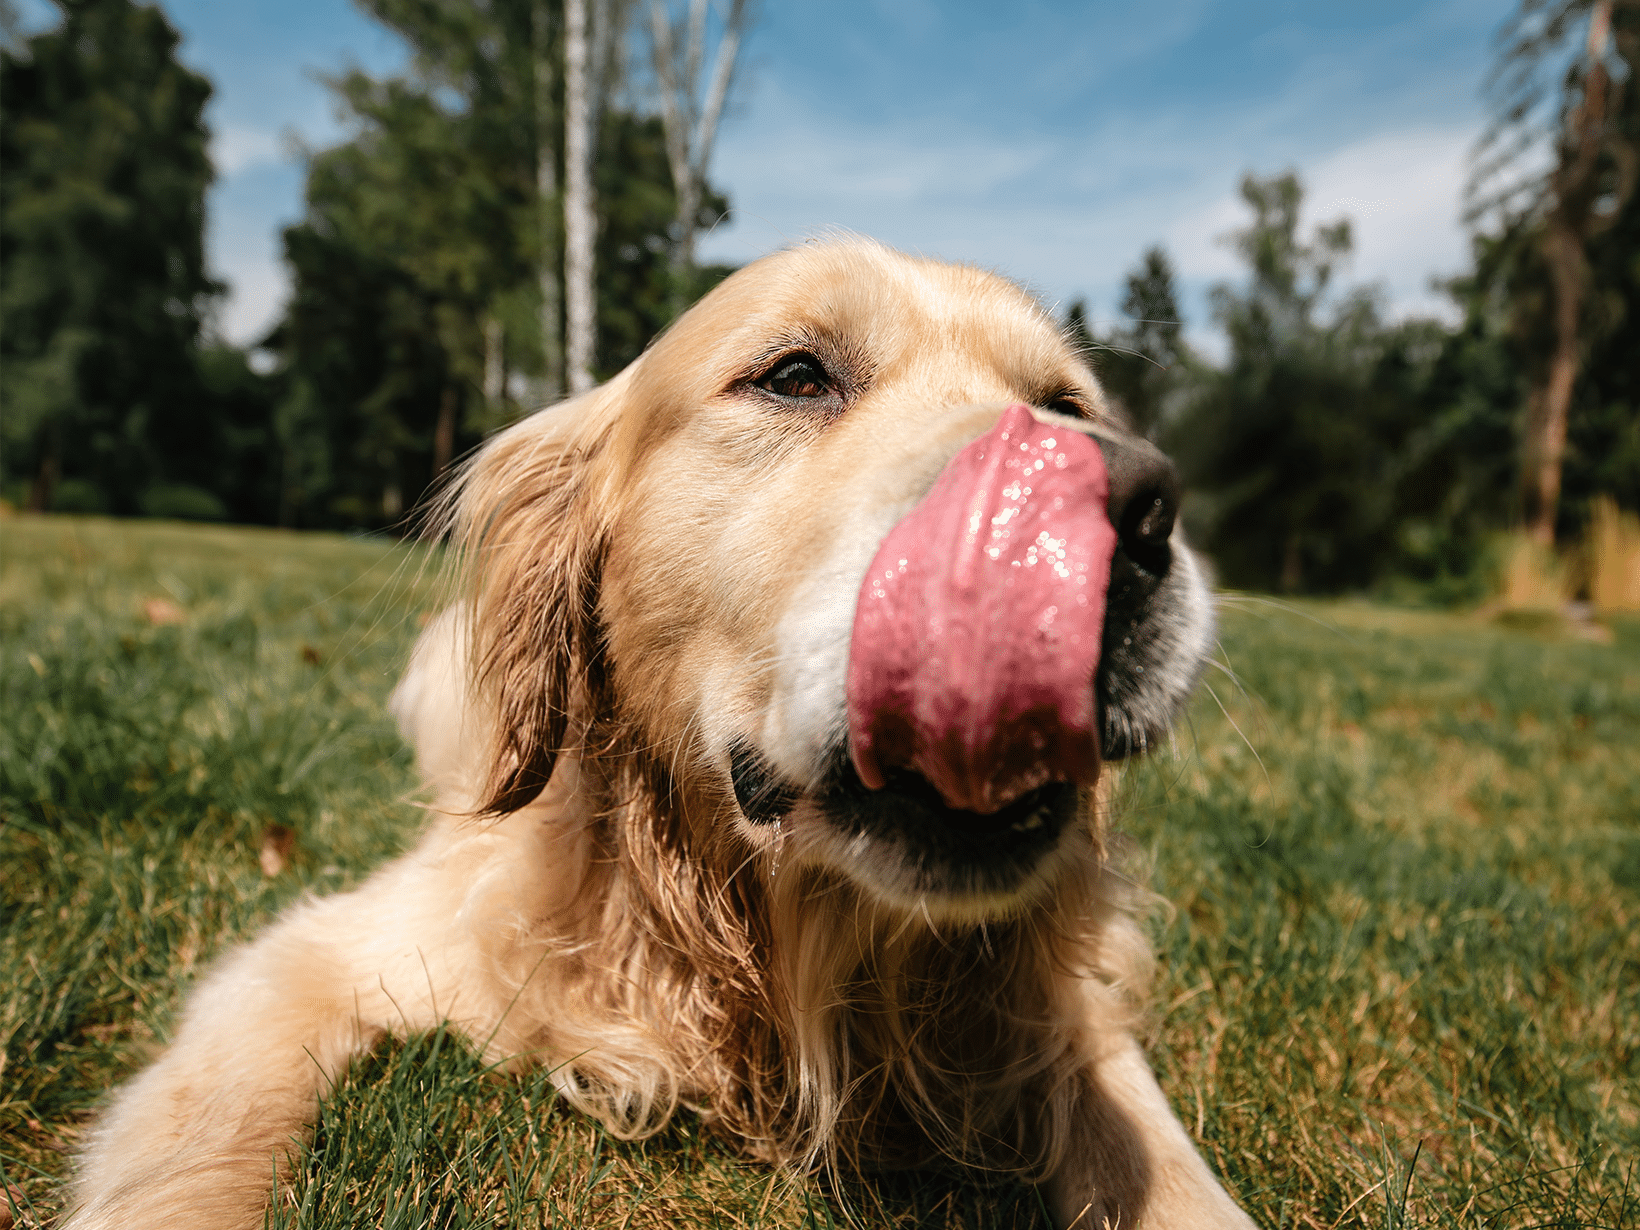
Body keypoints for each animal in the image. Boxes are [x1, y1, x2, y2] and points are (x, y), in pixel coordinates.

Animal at [63, 241, 1246, 1230]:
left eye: (1065, 404)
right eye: (795, 377)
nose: (1132, 508)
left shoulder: (1062, 1009)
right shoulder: (322, 960)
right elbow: (202, 1154)